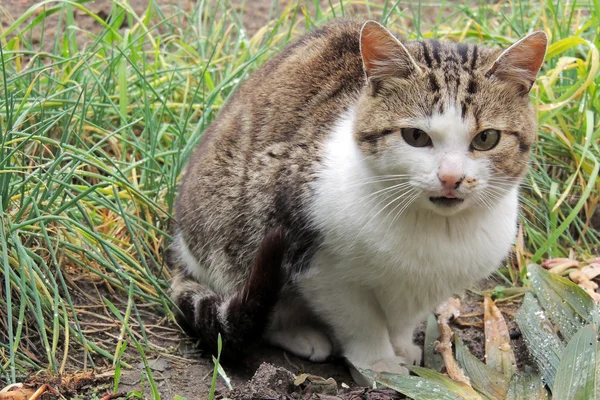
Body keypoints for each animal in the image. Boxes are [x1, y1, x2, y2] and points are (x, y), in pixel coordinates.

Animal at [166, 18, 548, 384]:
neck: (435, 230)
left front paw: (401, 346)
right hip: (244, 218)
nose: (451, 178)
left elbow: (403, 319)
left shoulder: (430, 285)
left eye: (486, 138)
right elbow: (361, 321)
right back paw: (302, 335)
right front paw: (378, 364)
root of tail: (180, 245)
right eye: (415, 136)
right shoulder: (319, 268)